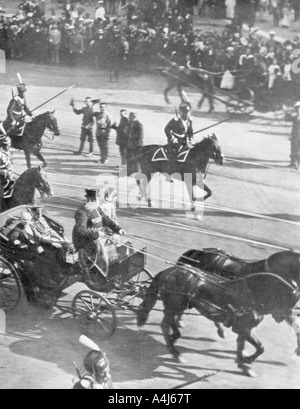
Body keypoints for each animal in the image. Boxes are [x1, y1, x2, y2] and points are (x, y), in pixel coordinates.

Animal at [138, 258, 300, 376]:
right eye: (291, 300)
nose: (281, 317)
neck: (251, 293)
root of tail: (169, 271)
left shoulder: (245, 329)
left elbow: (259, 347)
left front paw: (246, 361)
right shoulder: (242, 328)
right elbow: (246, 345)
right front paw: (244, 364)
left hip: (177, 305)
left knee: (170, 320)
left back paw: (174, 336)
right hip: (175, 305)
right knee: (165, 324)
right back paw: (175, 352)